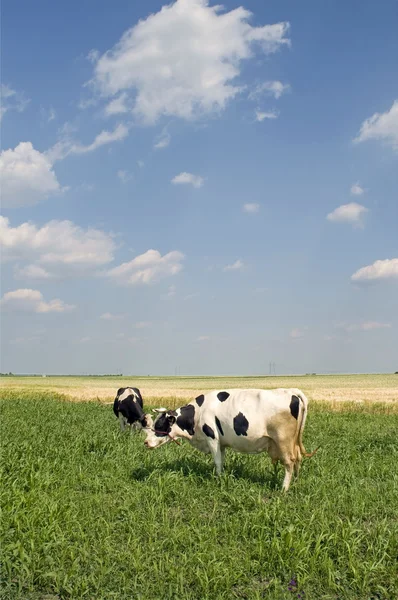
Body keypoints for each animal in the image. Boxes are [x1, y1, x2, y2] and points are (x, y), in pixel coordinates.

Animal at [143, 390, 318, 492]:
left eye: (160, 424)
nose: (145, 442)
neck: (198, 413)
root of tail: (291, 391)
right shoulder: (221, 443)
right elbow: (222, 459)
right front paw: (223, 477)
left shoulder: (212, 437)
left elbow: (217, 461)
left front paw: (218, 479)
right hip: (293, 441)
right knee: (298, 459)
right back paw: (296, 482)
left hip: (283, 440)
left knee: (289, 462)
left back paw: (284, 489)